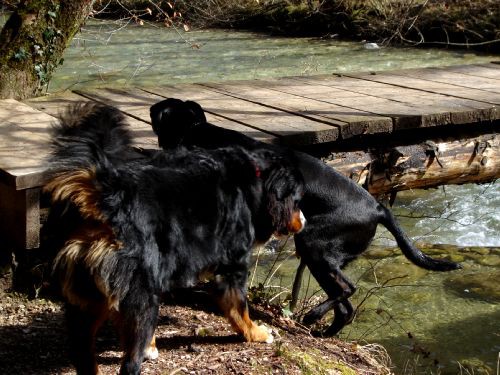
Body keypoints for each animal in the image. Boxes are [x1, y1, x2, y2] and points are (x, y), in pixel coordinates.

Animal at [46, 103, 304, 375]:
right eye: (298, 200)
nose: (303, 222)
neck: (254, 177)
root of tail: (105, 194)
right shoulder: (233, 265)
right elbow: (239, 307)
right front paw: (256, 333)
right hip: (142, 291)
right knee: (130, 361)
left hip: (85, 298)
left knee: (84, 354)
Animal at [150, 98, 462, 336]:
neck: (196, 132)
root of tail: (378, 208)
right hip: (323, 256)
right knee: (346, 309)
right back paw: (322, 330)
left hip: (314, 246)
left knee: (348, 290)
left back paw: (313, 315)